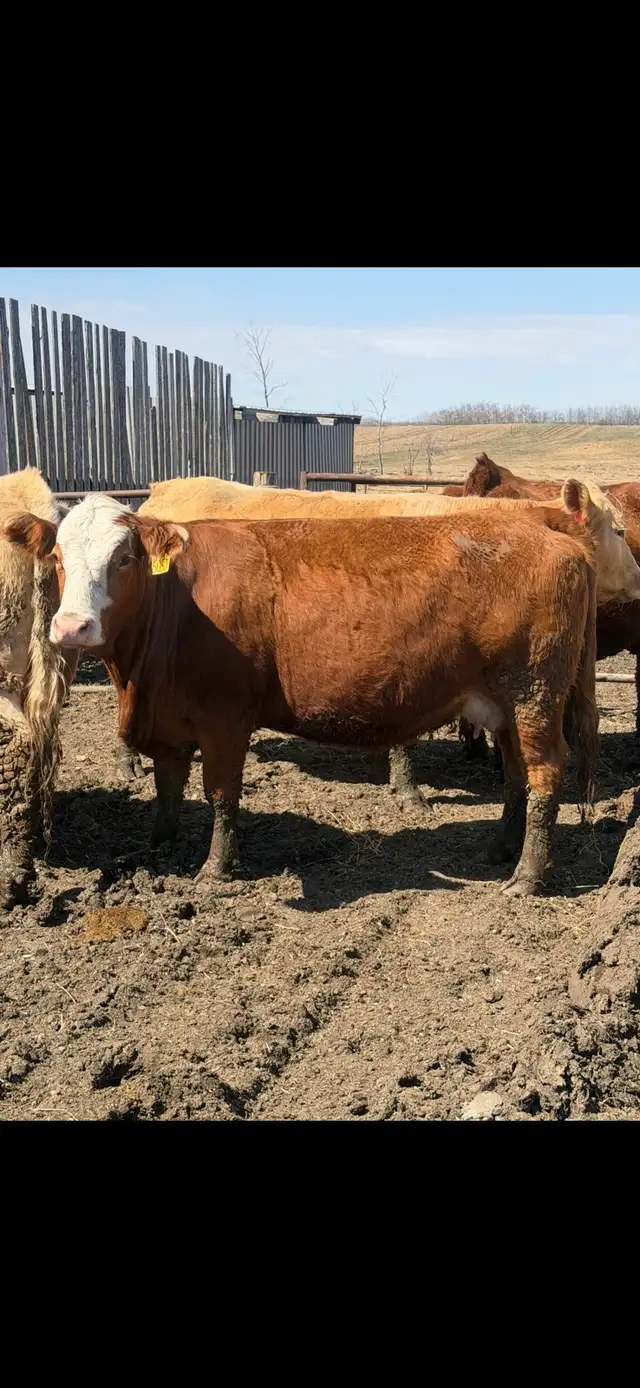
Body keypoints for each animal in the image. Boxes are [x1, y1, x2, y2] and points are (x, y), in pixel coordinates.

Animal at [5, 494, 600, 897]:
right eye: (58, 557)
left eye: (123, 559)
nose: (72, 627)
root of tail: (545, 527)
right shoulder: (169, 723)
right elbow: (168, 789)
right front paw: (160, 848)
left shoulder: (226, 719)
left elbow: (221, 794)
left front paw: (215, 869)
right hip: (505, 705)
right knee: (517, 772)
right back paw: (500, 848)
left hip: (535, 692)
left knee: (545, 771)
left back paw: (528, 875)